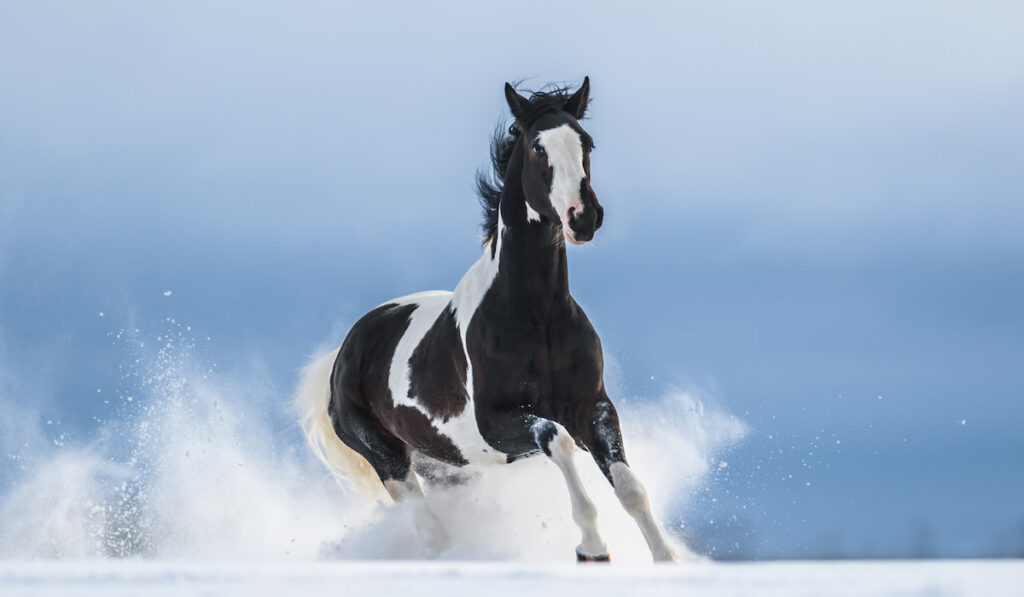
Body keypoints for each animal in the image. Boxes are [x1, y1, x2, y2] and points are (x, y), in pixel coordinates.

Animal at [296, 77, 679, 561]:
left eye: (586, 142)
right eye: (537, 146)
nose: (584, 217)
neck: (537, 316)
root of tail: (342, 353)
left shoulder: (593, 407)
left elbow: (630, 489)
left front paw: (666, 558)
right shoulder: (498, 425)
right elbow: (558, 440)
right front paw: (592, 548)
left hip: (448, 466)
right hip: (391, 462)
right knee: (429, 529)